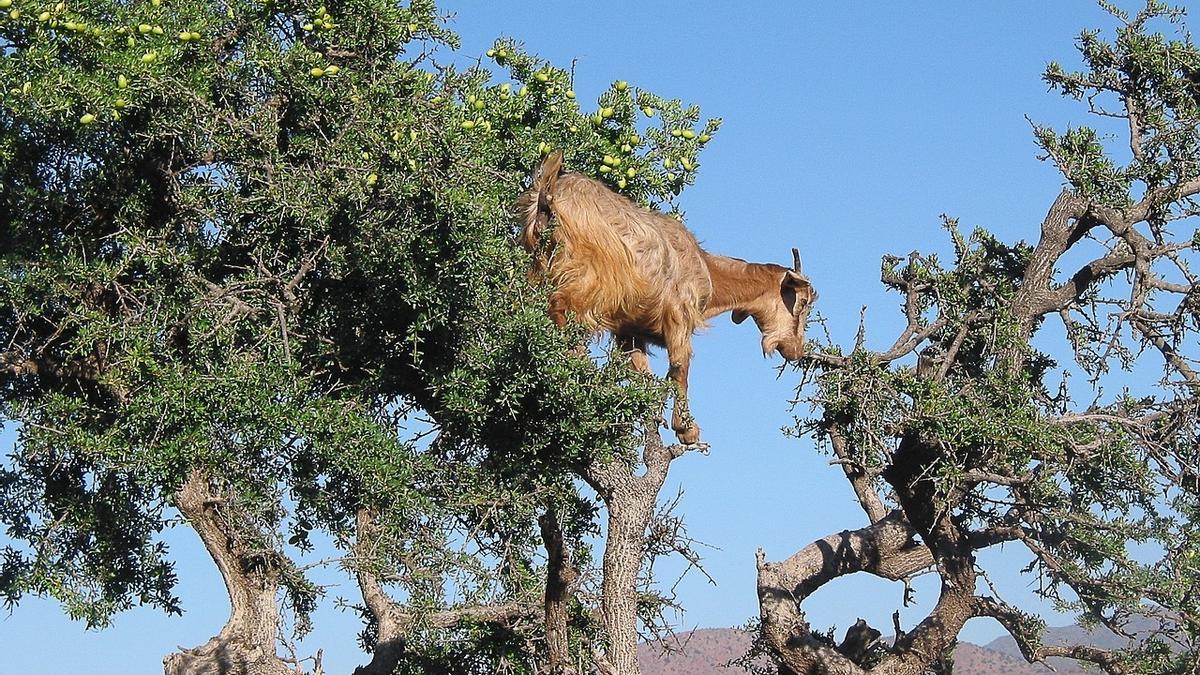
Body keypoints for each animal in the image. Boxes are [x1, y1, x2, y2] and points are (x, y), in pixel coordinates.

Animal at [516, 148, 816, 441]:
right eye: (801, 303)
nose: (796, 351)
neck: (707, 269)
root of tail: (548, 193)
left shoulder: (629, 329)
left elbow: (641, 370)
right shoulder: (678, 317)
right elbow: (680, 367)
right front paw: (686, 428)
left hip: (538, 268)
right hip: (588, 281)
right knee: (560, 308)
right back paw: (579, 365)